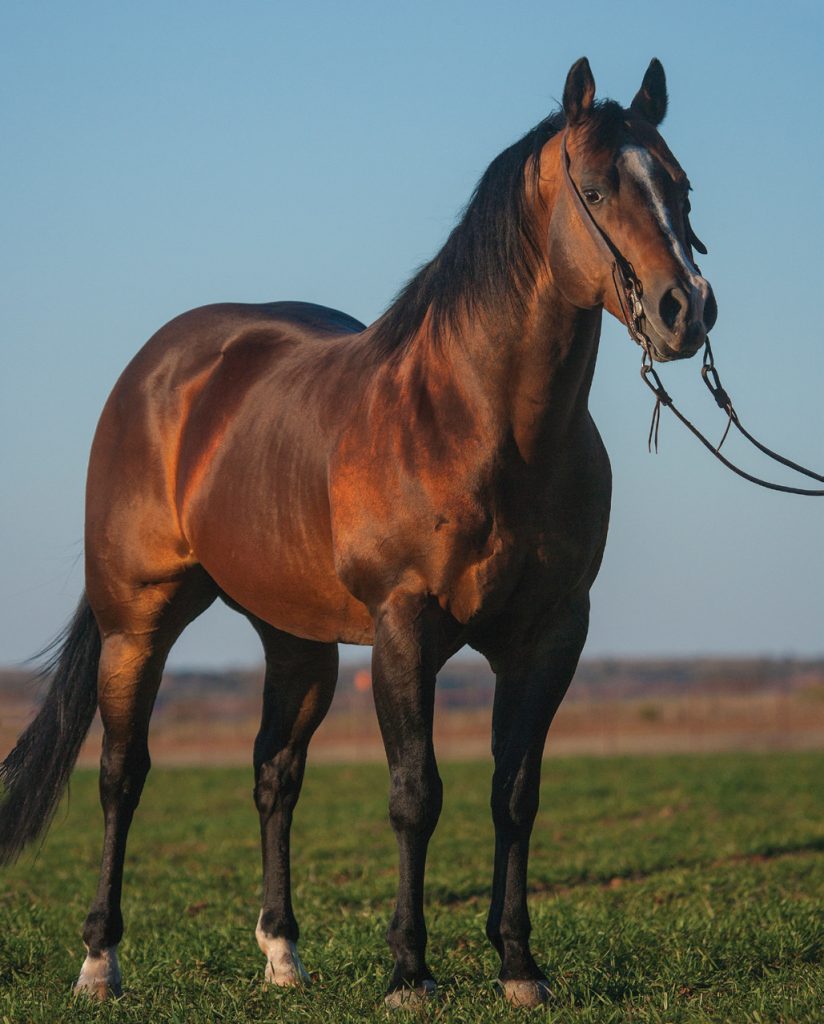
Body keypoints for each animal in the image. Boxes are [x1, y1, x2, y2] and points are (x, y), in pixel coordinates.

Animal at [0, 57, 715, 1008]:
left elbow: (515, 795)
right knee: (123, 775)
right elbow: (416, 794)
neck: (483, 424)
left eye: (680, 187)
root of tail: (160, 369)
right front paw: (409, 971)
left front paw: (520, 967)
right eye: (597, 188)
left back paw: (282, 956)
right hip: (137, 624)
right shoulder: (405, 628)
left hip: (296, 641)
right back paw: (99, 965)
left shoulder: (550, 635)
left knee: (274, 774)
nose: (687, 310)